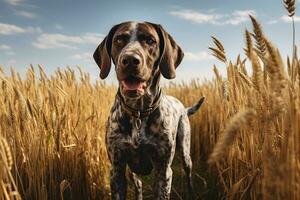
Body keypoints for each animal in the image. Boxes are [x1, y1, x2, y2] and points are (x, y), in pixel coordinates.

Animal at [94, 21, 205, 200]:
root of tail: (183, 107)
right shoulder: (117, 170)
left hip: (185, 151)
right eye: (119, 40)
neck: (139, 112)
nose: (130, 60)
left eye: (150, 40)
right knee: (138, 185)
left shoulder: (163, 171)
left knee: (188, 174)